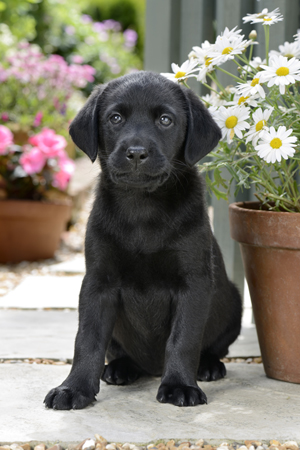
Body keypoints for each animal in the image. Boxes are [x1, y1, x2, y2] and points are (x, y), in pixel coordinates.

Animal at [44, 69, 241, 408]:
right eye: (115, 118)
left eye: (165, 120)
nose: (136, 153)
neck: (142, 208)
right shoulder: (98, 282)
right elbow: (87, 339)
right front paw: (74, 388)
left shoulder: (193, 282)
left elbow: (184, 339)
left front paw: (180, 385)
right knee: (117, 351)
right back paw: (120, 368)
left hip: (233, 302)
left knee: (213, 346)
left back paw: (208, 365)